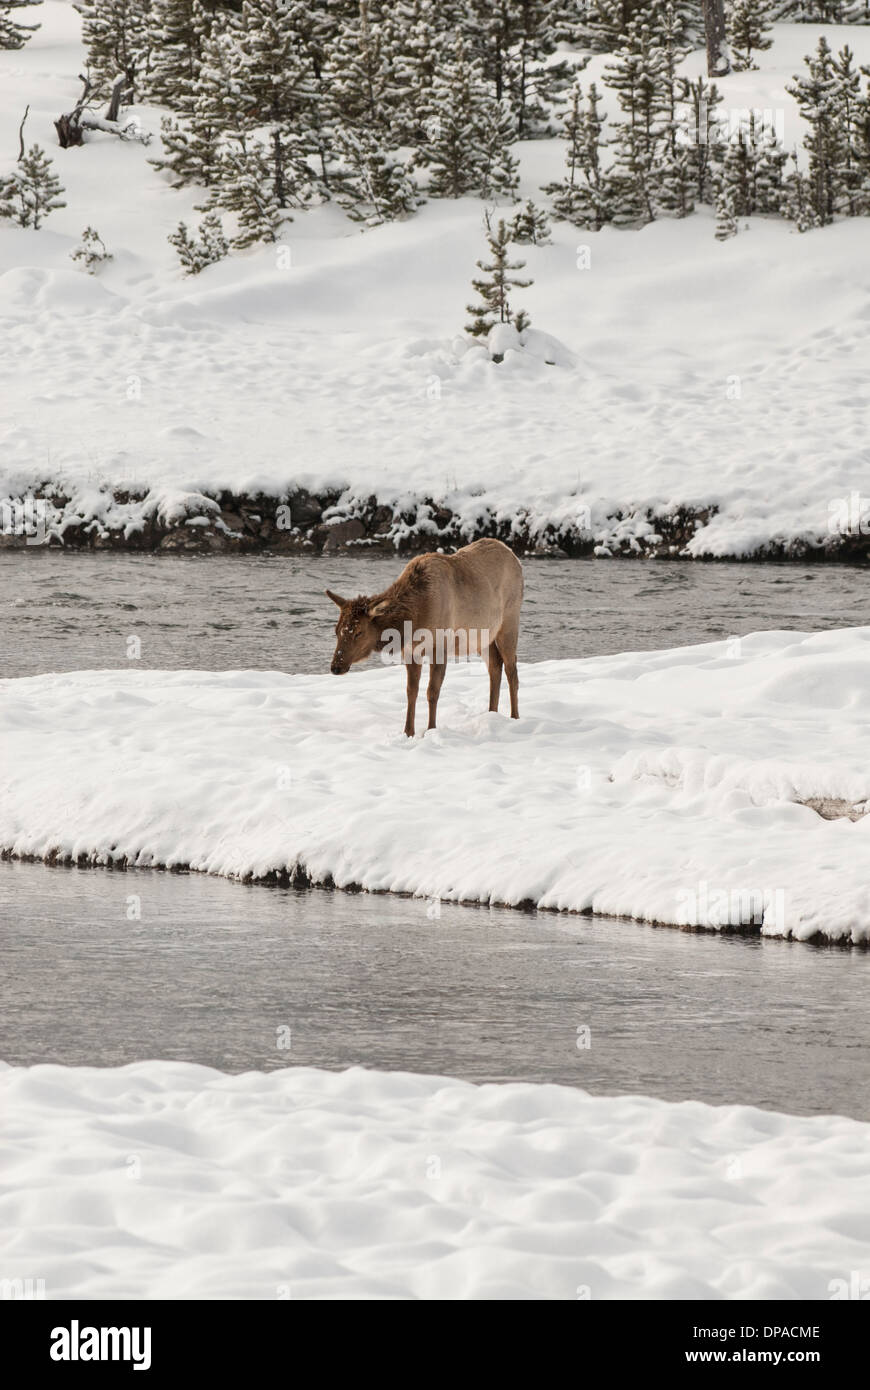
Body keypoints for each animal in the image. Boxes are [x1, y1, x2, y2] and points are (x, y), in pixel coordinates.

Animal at [326, 539, 523, 736]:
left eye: (359, 632)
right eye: (336, 630)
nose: (336, 667)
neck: (413, 621)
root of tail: (514, 556)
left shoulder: (440, 646)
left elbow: (432, 692)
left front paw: (430, 729)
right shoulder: (411, 651)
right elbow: (411, 691)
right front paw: (408, 732)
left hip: (509, 622)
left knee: (511, 669)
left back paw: (514, 717)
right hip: (483, 637)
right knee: (495, 665)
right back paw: (492, 714)